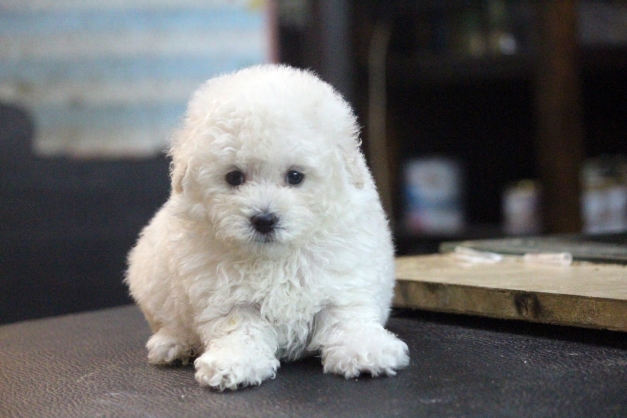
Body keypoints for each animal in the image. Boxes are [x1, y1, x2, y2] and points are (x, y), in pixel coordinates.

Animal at [125, 64, 409, 390]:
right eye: (234, 177)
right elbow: (238, 328)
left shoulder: (343, 275)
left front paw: (364, 349)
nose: (264, 219)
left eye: (295, 176)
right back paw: (173, 344)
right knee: (169, 321)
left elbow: (346, 317)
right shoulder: (225, 294)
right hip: (150, 277)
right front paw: (234, 362)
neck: (276, 257)